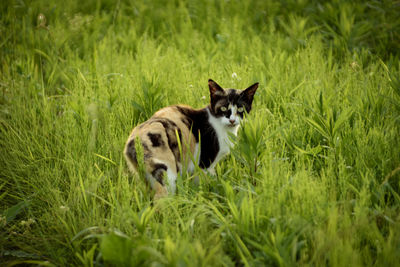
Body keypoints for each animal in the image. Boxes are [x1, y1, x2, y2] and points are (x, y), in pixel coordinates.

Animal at [124, 78, 260, 200]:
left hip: (144, 179)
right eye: (223, 108)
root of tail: (132, 143)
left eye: (241, 109)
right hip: (167, 175)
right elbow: (205, 184)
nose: (232, 120)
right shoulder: (204, 165)